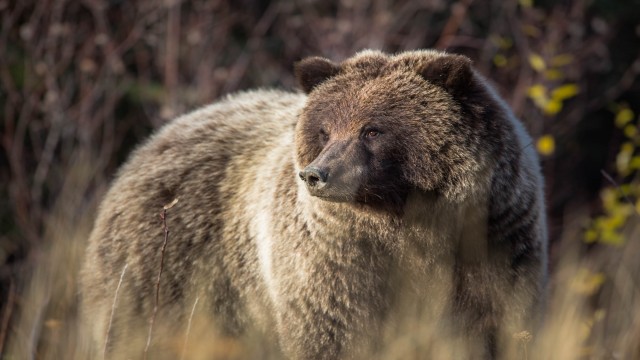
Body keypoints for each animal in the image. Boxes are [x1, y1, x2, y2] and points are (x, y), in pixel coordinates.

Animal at [80, 50, 548, 360]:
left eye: (372, 129)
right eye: (325, 129)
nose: (316, 174)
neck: (403, 222)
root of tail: (151, 141)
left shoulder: (491, 244)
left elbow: (495, 325)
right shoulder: (335, 264)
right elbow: (329, 332)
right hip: (169, 268)